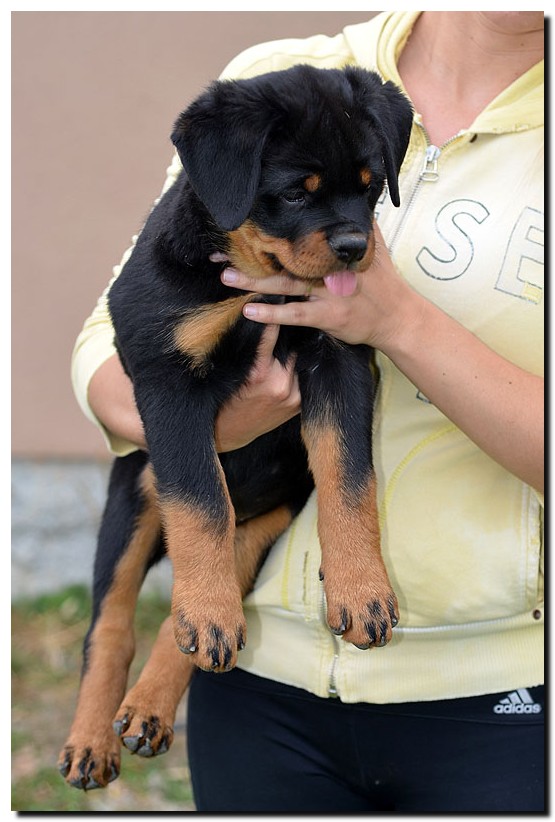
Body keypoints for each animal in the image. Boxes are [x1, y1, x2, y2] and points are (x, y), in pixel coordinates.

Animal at [58, 66, 414, 792]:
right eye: (293, 191)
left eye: (371, 185)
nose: (354, 249)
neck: (260, 286)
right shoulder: (168, 384)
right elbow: (199, 500)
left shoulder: (340, 359)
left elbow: (349, 478)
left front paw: (363, 591)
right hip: (133, 492)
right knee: (111, 623)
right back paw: (92, 740)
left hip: (268, 520)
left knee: (204, 604)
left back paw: (156, 698)